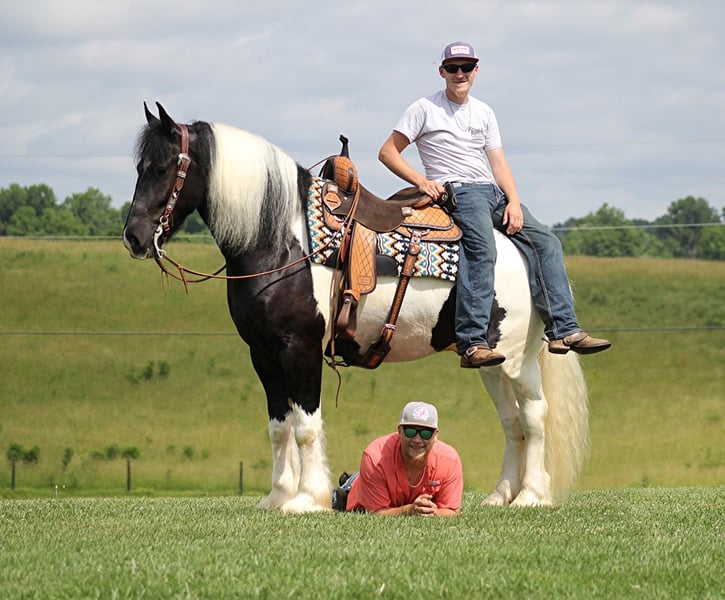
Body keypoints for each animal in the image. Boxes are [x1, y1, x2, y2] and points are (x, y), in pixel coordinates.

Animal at [123, 103, 589, 512]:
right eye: (139, 167)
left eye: (163, 168)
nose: (134, 237)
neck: (283, 242)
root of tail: (519, 244)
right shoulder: (263, 354)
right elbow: (279, 428)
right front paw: (277, 497)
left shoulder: (301, 349)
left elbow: (306, 427)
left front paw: (306, 499)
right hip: (489, 361)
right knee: (511, 422)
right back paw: (501, 495)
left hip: (518, 360)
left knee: (534, 417)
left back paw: (531, 495)